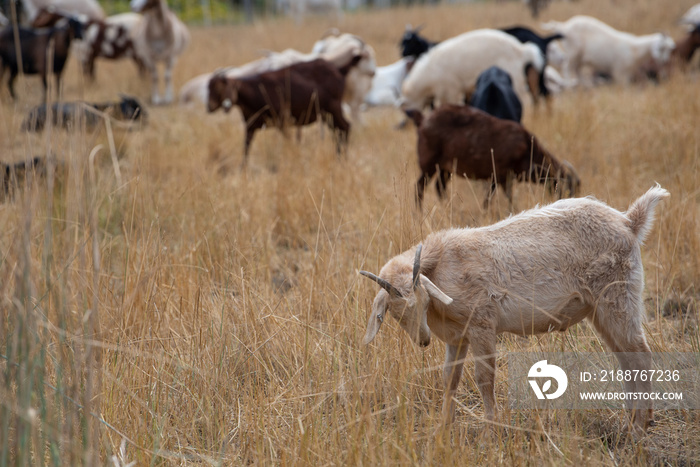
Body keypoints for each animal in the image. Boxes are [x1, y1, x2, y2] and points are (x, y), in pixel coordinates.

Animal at [205, 57, 358, 165]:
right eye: (208, 88)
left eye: (218, 89)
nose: (209, 107)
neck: (255, 90)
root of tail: (339, 69)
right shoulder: (251, 125)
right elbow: (246, 147)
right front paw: (242, 168)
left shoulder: (283, 121)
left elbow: (288, 140)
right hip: (326, 114)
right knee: (338, 131)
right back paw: (339, 157)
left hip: (333, 108)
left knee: (345, 127)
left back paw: (342, 158)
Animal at [364, 186, 668, 436]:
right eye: (395, 313)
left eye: (423, 300)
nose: (423, 340)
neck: (439, 264)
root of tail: (629, 221)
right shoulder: (457, 337)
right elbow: (450, 379)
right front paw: (443, 428)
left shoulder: (482, 323)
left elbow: (484, 378)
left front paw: (489, 431)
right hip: (599, 309)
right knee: (625, 358)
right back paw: (630, 423)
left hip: (618, 296)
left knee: (640, 353)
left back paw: (641, 426)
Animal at [404, 106, 580, 210]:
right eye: (568, 190)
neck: (527, 148)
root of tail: (422, 119)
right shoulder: (503, 176)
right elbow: (506, 198)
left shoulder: (495, 178)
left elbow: (488, 199)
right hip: (429, 165)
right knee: (419, 187)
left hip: (445, 169)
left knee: (439, 188)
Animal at [544, 15, 676, 85]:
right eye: (661, 47)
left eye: (669, 49)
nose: (663, 61)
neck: (634, 49)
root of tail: (563, 25)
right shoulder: (620, 72)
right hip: (573, 53)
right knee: (566, 67)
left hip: (579, 58)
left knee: (577, 70)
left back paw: (583, 84)